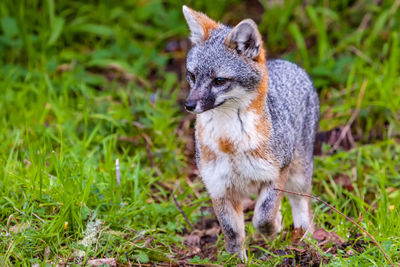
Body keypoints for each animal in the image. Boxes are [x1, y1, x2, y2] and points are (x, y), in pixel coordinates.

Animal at [183, 5, 320, 260]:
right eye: (192, 76)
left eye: (219, 81)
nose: (189, 105)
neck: (229, 143)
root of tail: (288, 64)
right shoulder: (218, 188)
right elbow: (233, 233)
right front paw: (235, 261)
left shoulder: (276, 174)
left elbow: (263, 217)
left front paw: (273, 228)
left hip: (298, 176)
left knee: (302, 207)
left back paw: (305, 242)